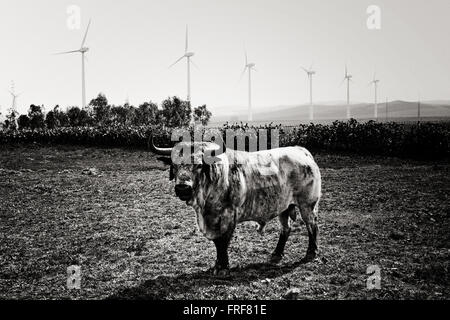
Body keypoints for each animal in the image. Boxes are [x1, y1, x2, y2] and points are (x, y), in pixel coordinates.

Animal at [149, 136, 322, 276]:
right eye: (174, 165)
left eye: (198, 165)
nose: (182, 188)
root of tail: (301, 151)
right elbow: (217, 243)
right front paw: (218, 265)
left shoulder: (227, 217)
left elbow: (223, 242)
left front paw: (223, 267)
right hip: (284, 207)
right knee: (286, 228)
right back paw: (277, 254)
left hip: (307, 204)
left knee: (311, 225)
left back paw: (311, 252)